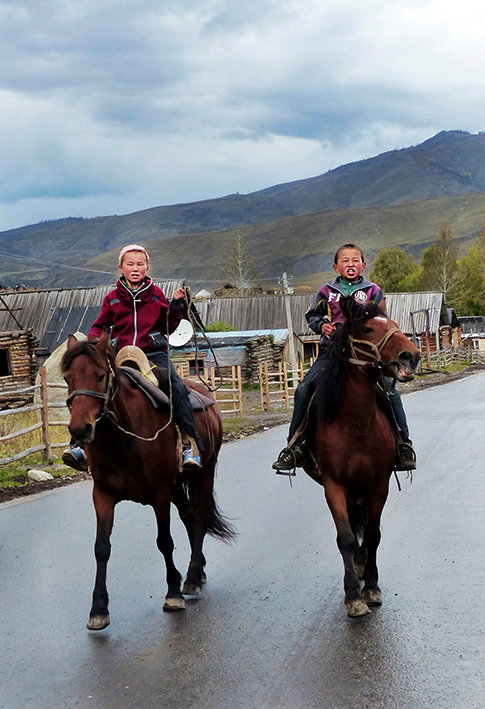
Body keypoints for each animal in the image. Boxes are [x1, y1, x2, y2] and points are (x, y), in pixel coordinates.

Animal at [60, 330, 234, 628]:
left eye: (100, 376)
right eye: (68, 377)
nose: (80, 430)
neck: (122, 440)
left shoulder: (159, 495)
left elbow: (164, 542)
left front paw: (173, 594)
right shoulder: (102, 496)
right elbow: (101, 548)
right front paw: (98, 609)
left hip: (205, 473)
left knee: (199, 517)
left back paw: (192, 577)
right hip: (177, 486)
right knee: (188, 516)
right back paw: (198, 571)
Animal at [302, 296, 420, 616]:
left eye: (393, 323)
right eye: (367, 329)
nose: (412, 356)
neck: (355, 423)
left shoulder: (379, 484)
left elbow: (374, 535)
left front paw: (371, 587)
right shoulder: (333, 485)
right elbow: (345, 538)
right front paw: (353, 596)